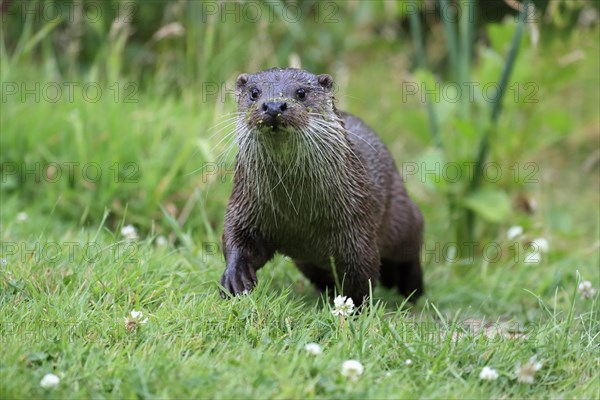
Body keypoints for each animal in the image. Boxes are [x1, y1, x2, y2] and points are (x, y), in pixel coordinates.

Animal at [219, 68, 422, 306]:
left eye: (301, 92)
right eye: (254, 92)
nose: (274, 106)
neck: (297, 211)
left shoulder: (357, 225)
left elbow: (362, 273)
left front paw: (354, 308)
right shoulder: (245, 205)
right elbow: (236, 239)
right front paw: (236, 278)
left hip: (400, 218)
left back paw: (413, 289)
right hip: (306, 261)